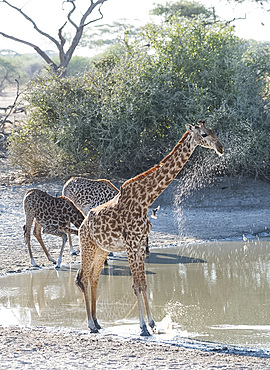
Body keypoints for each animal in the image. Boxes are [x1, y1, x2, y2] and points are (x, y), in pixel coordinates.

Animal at [75, 120, 223, 336]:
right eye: (204, 134)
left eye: (213, 131)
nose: (220, 148)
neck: (145, 200)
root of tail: (82, 225)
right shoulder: (131, 244)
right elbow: (136, 285)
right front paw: (143, 327)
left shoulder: (139, 245)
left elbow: (144, 284)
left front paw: (153, 324)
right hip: (87, 246)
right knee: (82, 278)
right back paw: (90, 324)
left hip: (101, 250)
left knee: (93, 278)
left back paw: (97, 322)